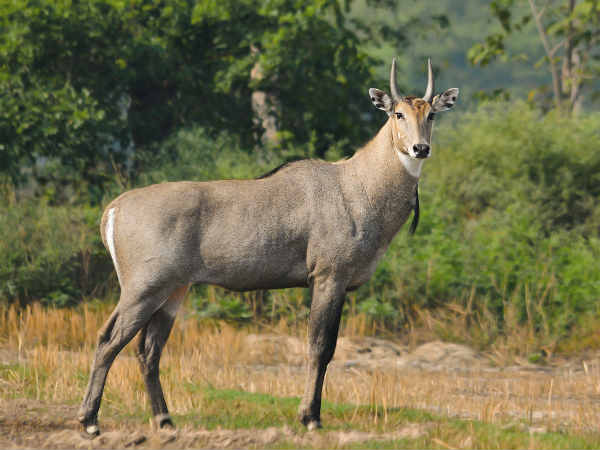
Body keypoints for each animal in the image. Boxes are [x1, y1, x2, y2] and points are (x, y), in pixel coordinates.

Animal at [77, 58, 458, 434]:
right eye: (398, 114)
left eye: (431, 115)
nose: (420, 148)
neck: (359, 186)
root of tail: (113, 210)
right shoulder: (328, 276)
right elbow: (320, 347)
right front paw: (310, 417)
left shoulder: (338, 283)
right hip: (143, 287)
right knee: (108, 339)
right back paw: (90, 420)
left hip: (173, 290)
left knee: (148, 350)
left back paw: (164, 420)